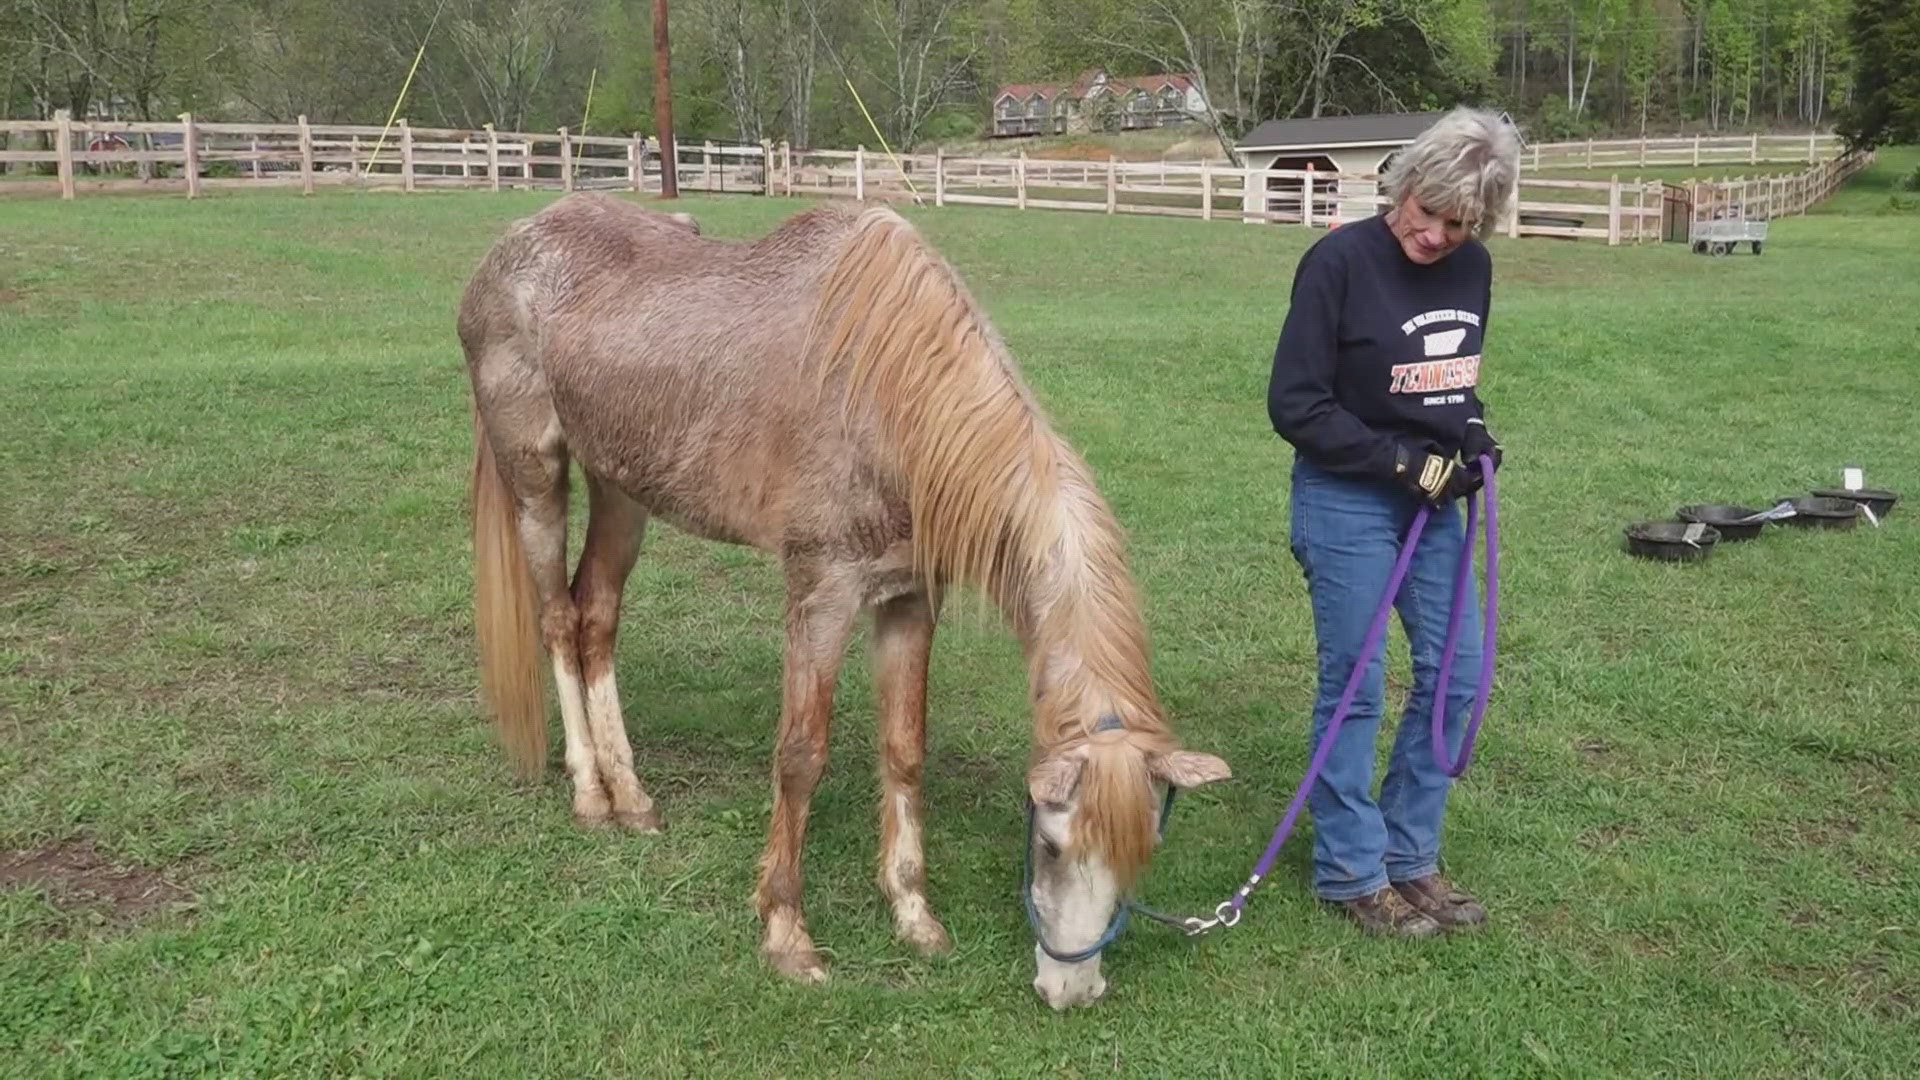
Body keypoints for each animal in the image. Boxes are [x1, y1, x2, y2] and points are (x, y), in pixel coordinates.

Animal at [456, 192, 1230, 1009]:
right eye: (1050, 844)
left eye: (1143, 848)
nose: (1072, 990)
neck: (893, 398)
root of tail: (511, 246)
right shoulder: (821, 595)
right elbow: (801, 756)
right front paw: (786, 934)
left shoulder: (910, 602)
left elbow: (904, 751)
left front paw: (914, 914)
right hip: (536, 479)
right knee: (557, 620)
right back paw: (591, 796)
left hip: (622, 489)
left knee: (597, 618)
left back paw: (633, 797)